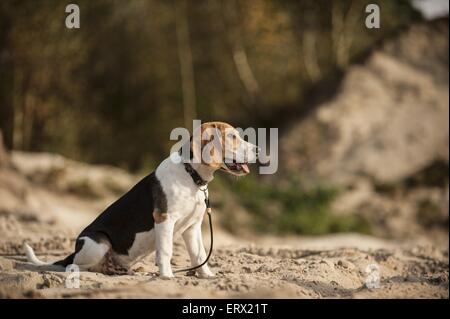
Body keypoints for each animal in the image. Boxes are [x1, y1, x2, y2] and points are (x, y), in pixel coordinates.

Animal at [23, 121, 256, 278]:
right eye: (233, 137)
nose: (259, 149)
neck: (191, 175)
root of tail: (73, 253)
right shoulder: (165, 219)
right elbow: (166, 251)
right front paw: (166, 277)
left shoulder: (193, 227)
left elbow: (199, 254)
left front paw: (207, 276)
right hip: (97, 243)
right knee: (77, 266)